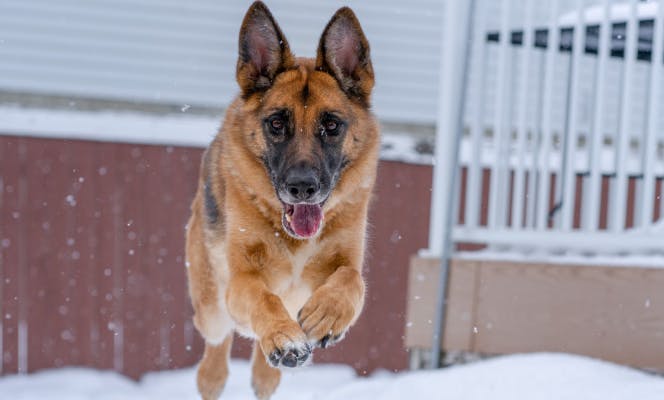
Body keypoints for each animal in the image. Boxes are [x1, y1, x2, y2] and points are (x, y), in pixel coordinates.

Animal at [184, 1, 378, 398]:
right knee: (216, 344)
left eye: (331, 125)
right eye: (276, 124)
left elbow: (351, 278)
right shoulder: (243, 278)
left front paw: (328, 314)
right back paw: (218, 374)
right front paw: (283, 338)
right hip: (212, 307)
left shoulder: (346, 260)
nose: (301, 187)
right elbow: (264, 298)